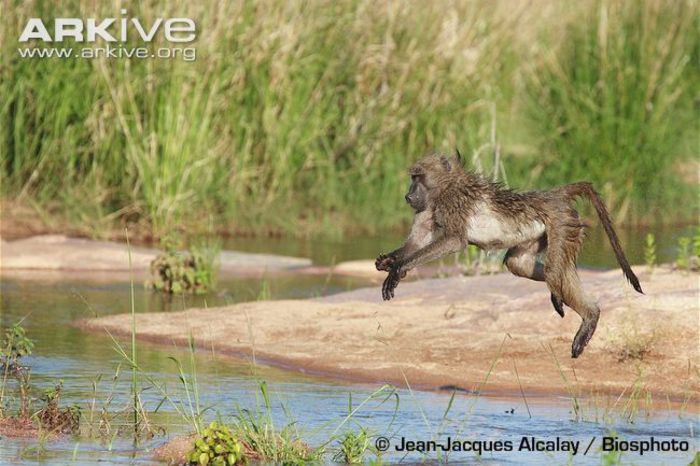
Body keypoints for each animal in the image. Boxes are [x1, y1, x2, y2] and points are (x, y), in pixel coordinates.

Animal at [375, 153, 643, 358]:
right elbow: (416, 242)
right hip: (541, 234)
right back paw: (576, 306)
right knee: (520, 265)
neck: (447, 185)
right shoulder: (427, 208)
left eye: (418, 177)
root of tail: (551, 196)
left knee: (553, 271)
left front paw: (397, 270)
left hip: (563, 223)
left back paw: (588, 317)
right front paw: (389, 262)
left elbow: (454, 241)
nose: (408, 196)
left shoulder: (452, 204)